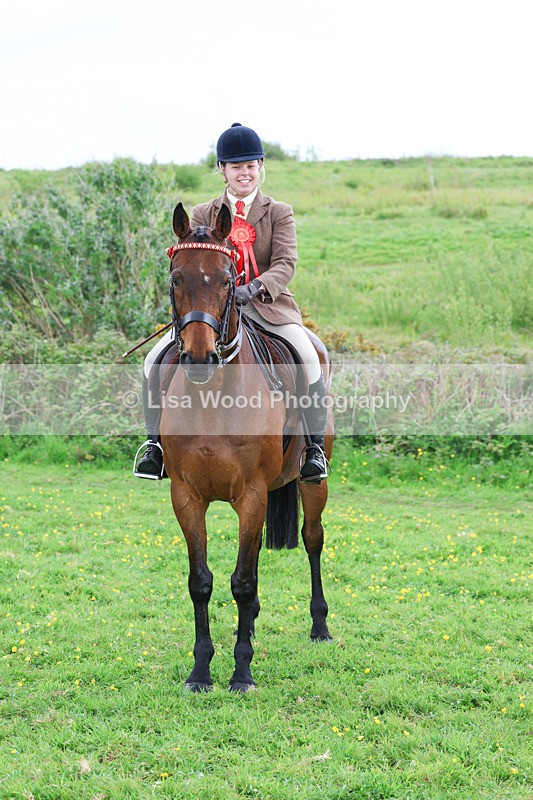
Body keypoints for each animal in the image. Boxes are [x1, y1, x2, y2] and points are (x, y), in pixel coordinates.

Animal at [159, 202, 334, 692]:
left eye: (227, 279)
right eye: (175, 278)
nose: (200, 360)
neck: (214, 400)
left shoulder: (252, 496)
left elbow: (243, 581)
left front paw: (241, 673)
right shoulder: (186, 497)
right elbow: (202, 582)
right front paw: (201, 671)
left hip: (312, 482)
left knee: (312, 539)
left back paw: (320, 626)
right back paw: (252, 626)